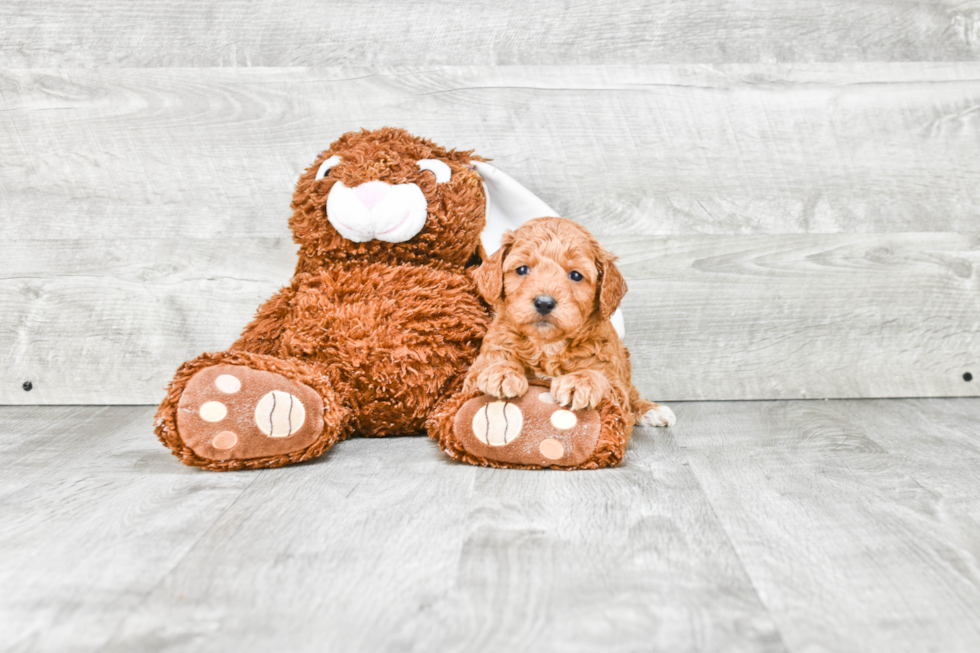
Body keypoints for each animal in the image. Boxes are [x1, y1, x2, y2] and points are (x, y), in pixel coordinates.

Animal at [466, 214, 676, 428]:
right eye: (522, 269)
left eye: (575, 275)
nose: (544, 303)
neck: (547, 345)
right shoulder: (477, 370)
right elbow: (491, 364)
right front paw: (500, 371)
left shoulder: (611, 375)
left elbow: (603, 378)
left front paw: (580, 382)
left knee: (632, 393)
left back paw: (651, 410)